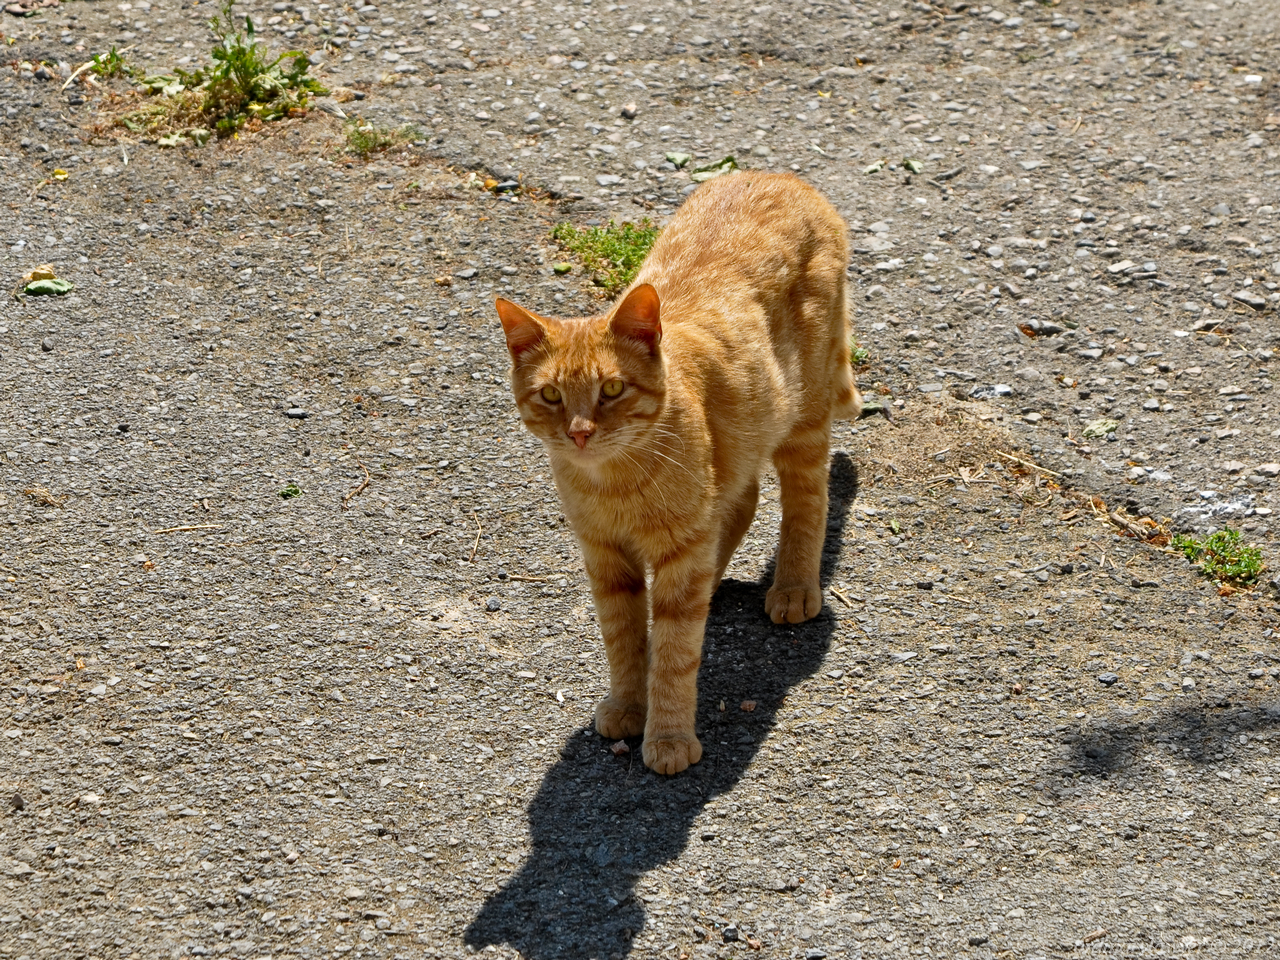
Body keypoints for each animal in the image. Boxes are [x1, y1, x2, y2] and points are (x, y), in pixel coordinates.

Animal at [494, 171, 865, 773]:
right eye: (551, 395)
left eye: (612, 389)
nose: (579, 432)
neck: (615, 483)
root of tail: (780, 175)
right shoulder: (606, 559)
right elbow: (623, 640)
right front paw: (628, 704)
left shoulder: (679, 550)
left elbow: (675, 653)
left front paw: (667, 736)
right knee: (742, 501)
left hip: (802, 420)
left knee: (806, 501)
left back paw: (792, 586)